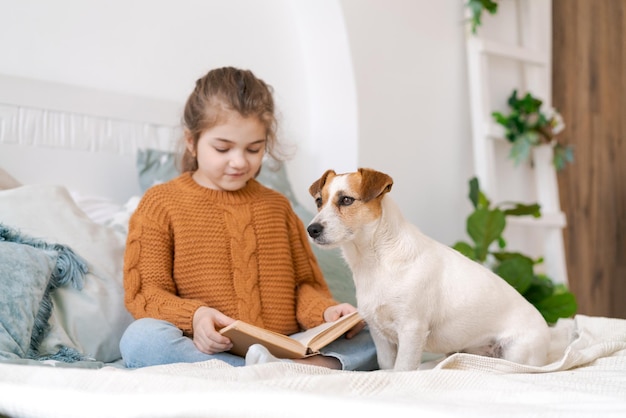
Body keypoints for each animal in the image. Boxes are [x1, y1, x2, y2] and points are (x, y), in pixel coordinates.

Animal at [306, 168, 544, 370]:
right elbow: (387, 368)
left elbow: (402, 369)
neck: (376, 262)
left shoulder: (412, 329)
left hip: (515, 353)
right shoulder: (379, 335)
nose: (311, 229)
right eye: (319, 201)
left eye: (346, 200)